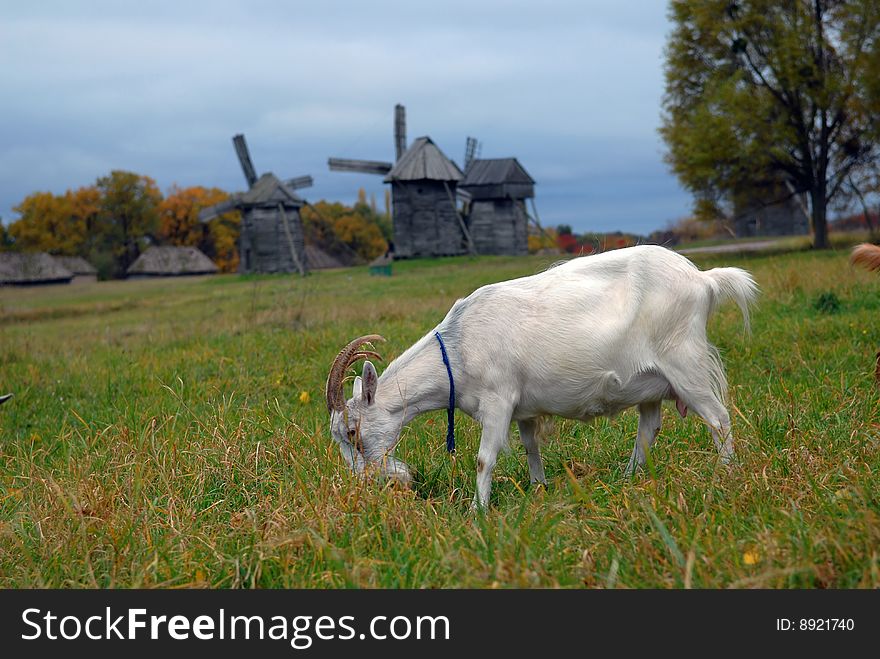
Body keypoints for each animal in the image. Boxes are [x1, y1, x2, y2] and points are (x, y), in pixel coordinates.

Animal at [324, 245, 756, 508]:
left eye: (351, 431)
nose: (365, 484)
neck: (459, 348)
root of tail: (704, 279)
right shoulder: (525, 410)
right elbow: (531, 447)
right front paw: (538, 488)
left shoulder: (498, 400)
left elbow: (484, 459)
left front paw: (477, 511)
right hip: (650, 382)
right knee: (648, 427)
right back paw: (628, 477)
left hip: (684, 362)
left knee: (718, 418)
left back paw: (724, 476)